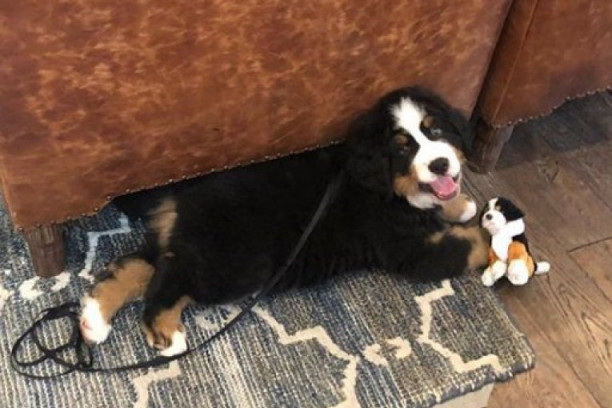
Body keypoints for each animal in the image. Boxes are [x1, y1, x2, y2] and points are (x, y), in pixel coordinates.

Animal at [79, 87, 489, 356]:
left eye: (435, 130)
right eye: (403, 147)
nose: (440, 164)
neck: (384, 187)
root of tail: (180, 194)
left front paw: (462, 204)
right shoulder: (412, 249)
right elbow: (471, 243)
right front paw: (498, 239)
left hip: (186, 241)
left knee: (133, 266)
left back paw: (94, 318)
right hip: (232, 264)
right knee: (167, 284)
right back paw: (165, 332)